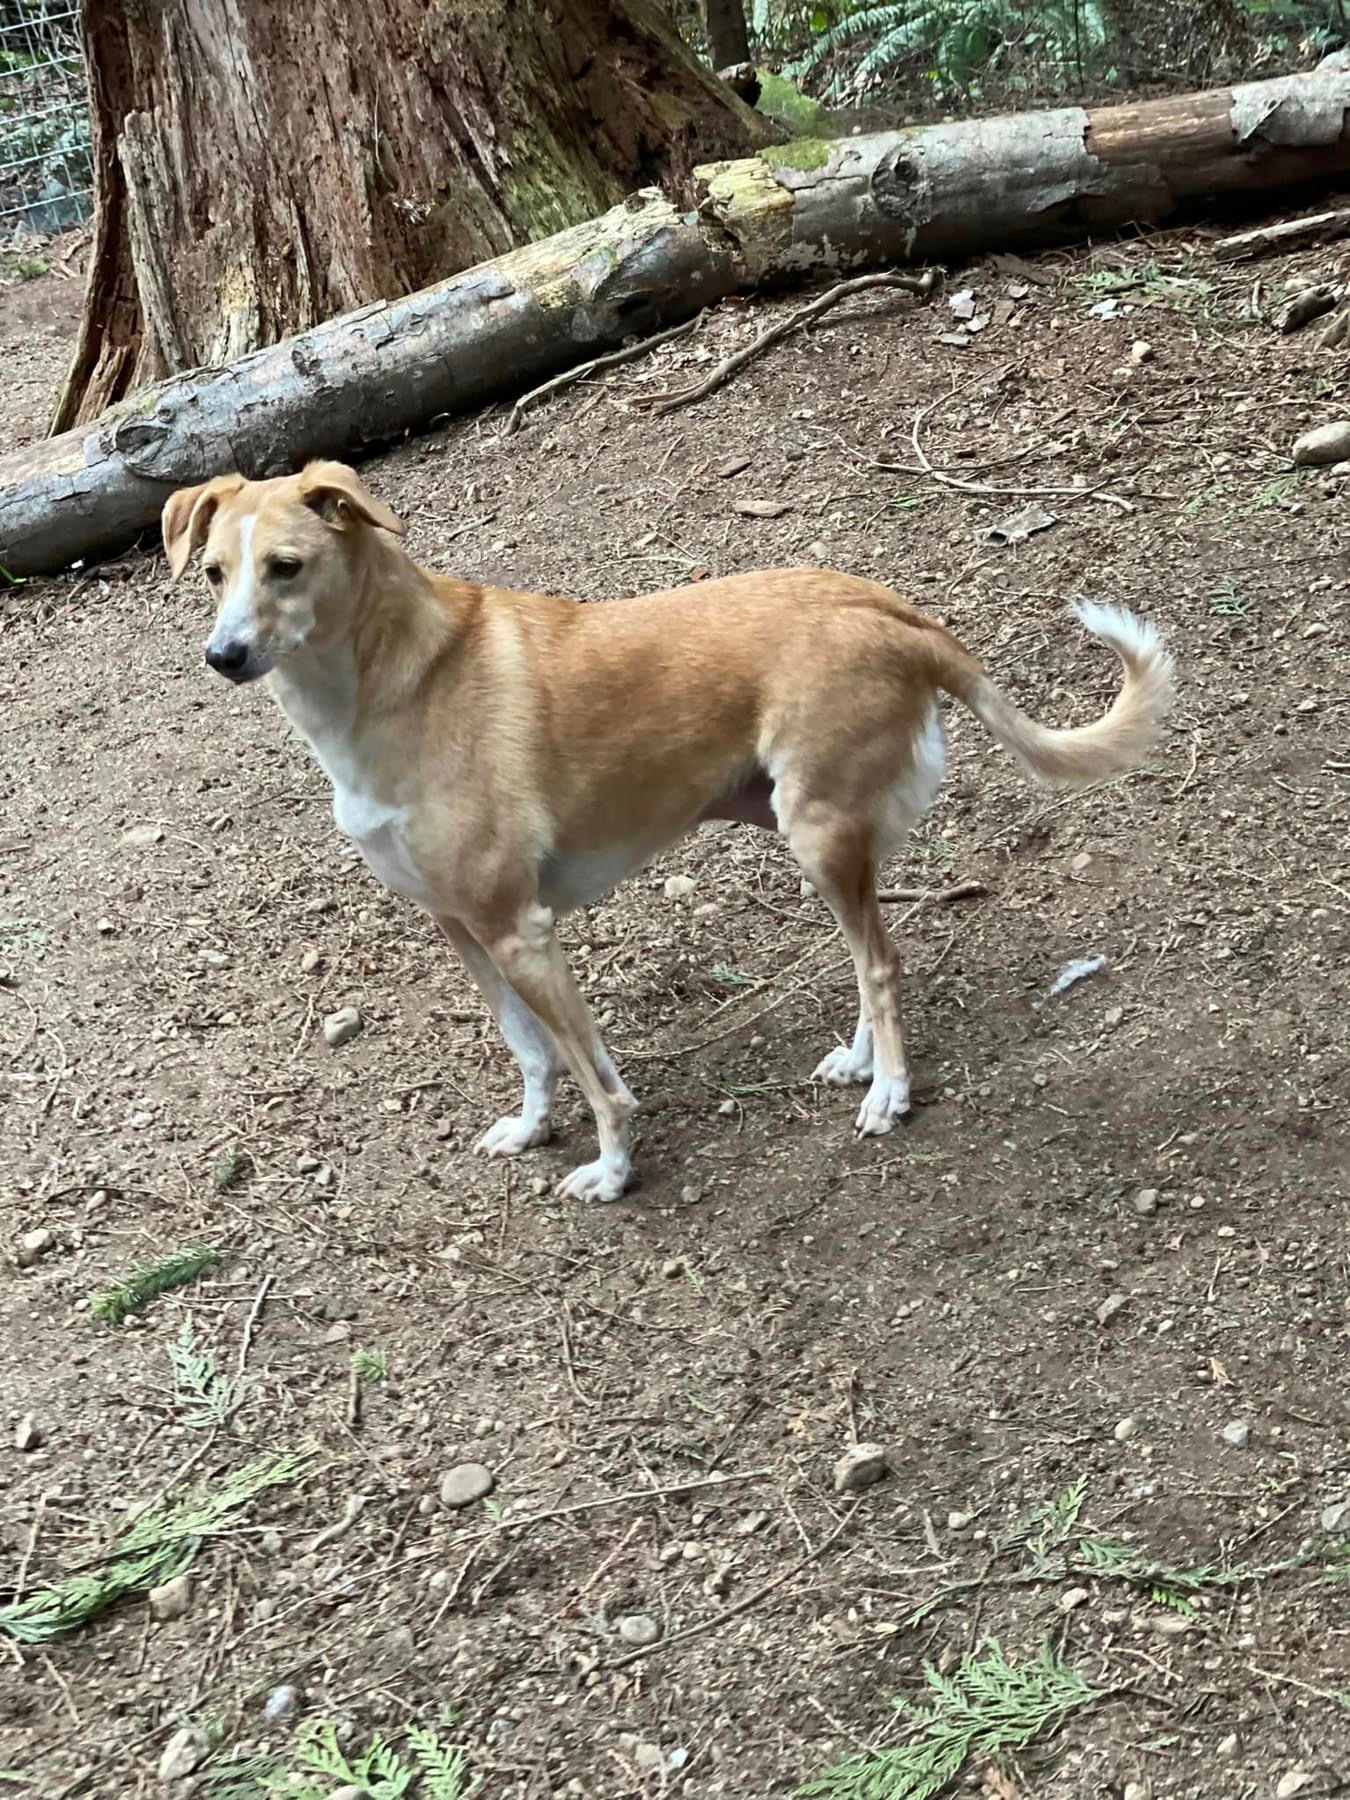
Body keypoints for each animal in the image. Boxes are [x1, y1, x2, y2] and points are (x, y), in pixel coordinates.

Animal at [163, 460, 1180, 1195]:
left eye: (286, 567)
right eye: (213, 574)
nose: (223, 656)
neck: (386, 685)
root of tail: (893, 611)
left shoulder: (521, 931)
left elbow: (598, 1080)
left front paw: (613, 1171)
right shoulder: (463, 929)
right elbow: (534, 1050)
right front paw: (533, 1126)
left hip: (817, 832)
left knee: (883, 964)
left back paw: (890, 1089)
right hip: (819, 836)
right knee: (867, 955)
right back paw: (859, 1063)